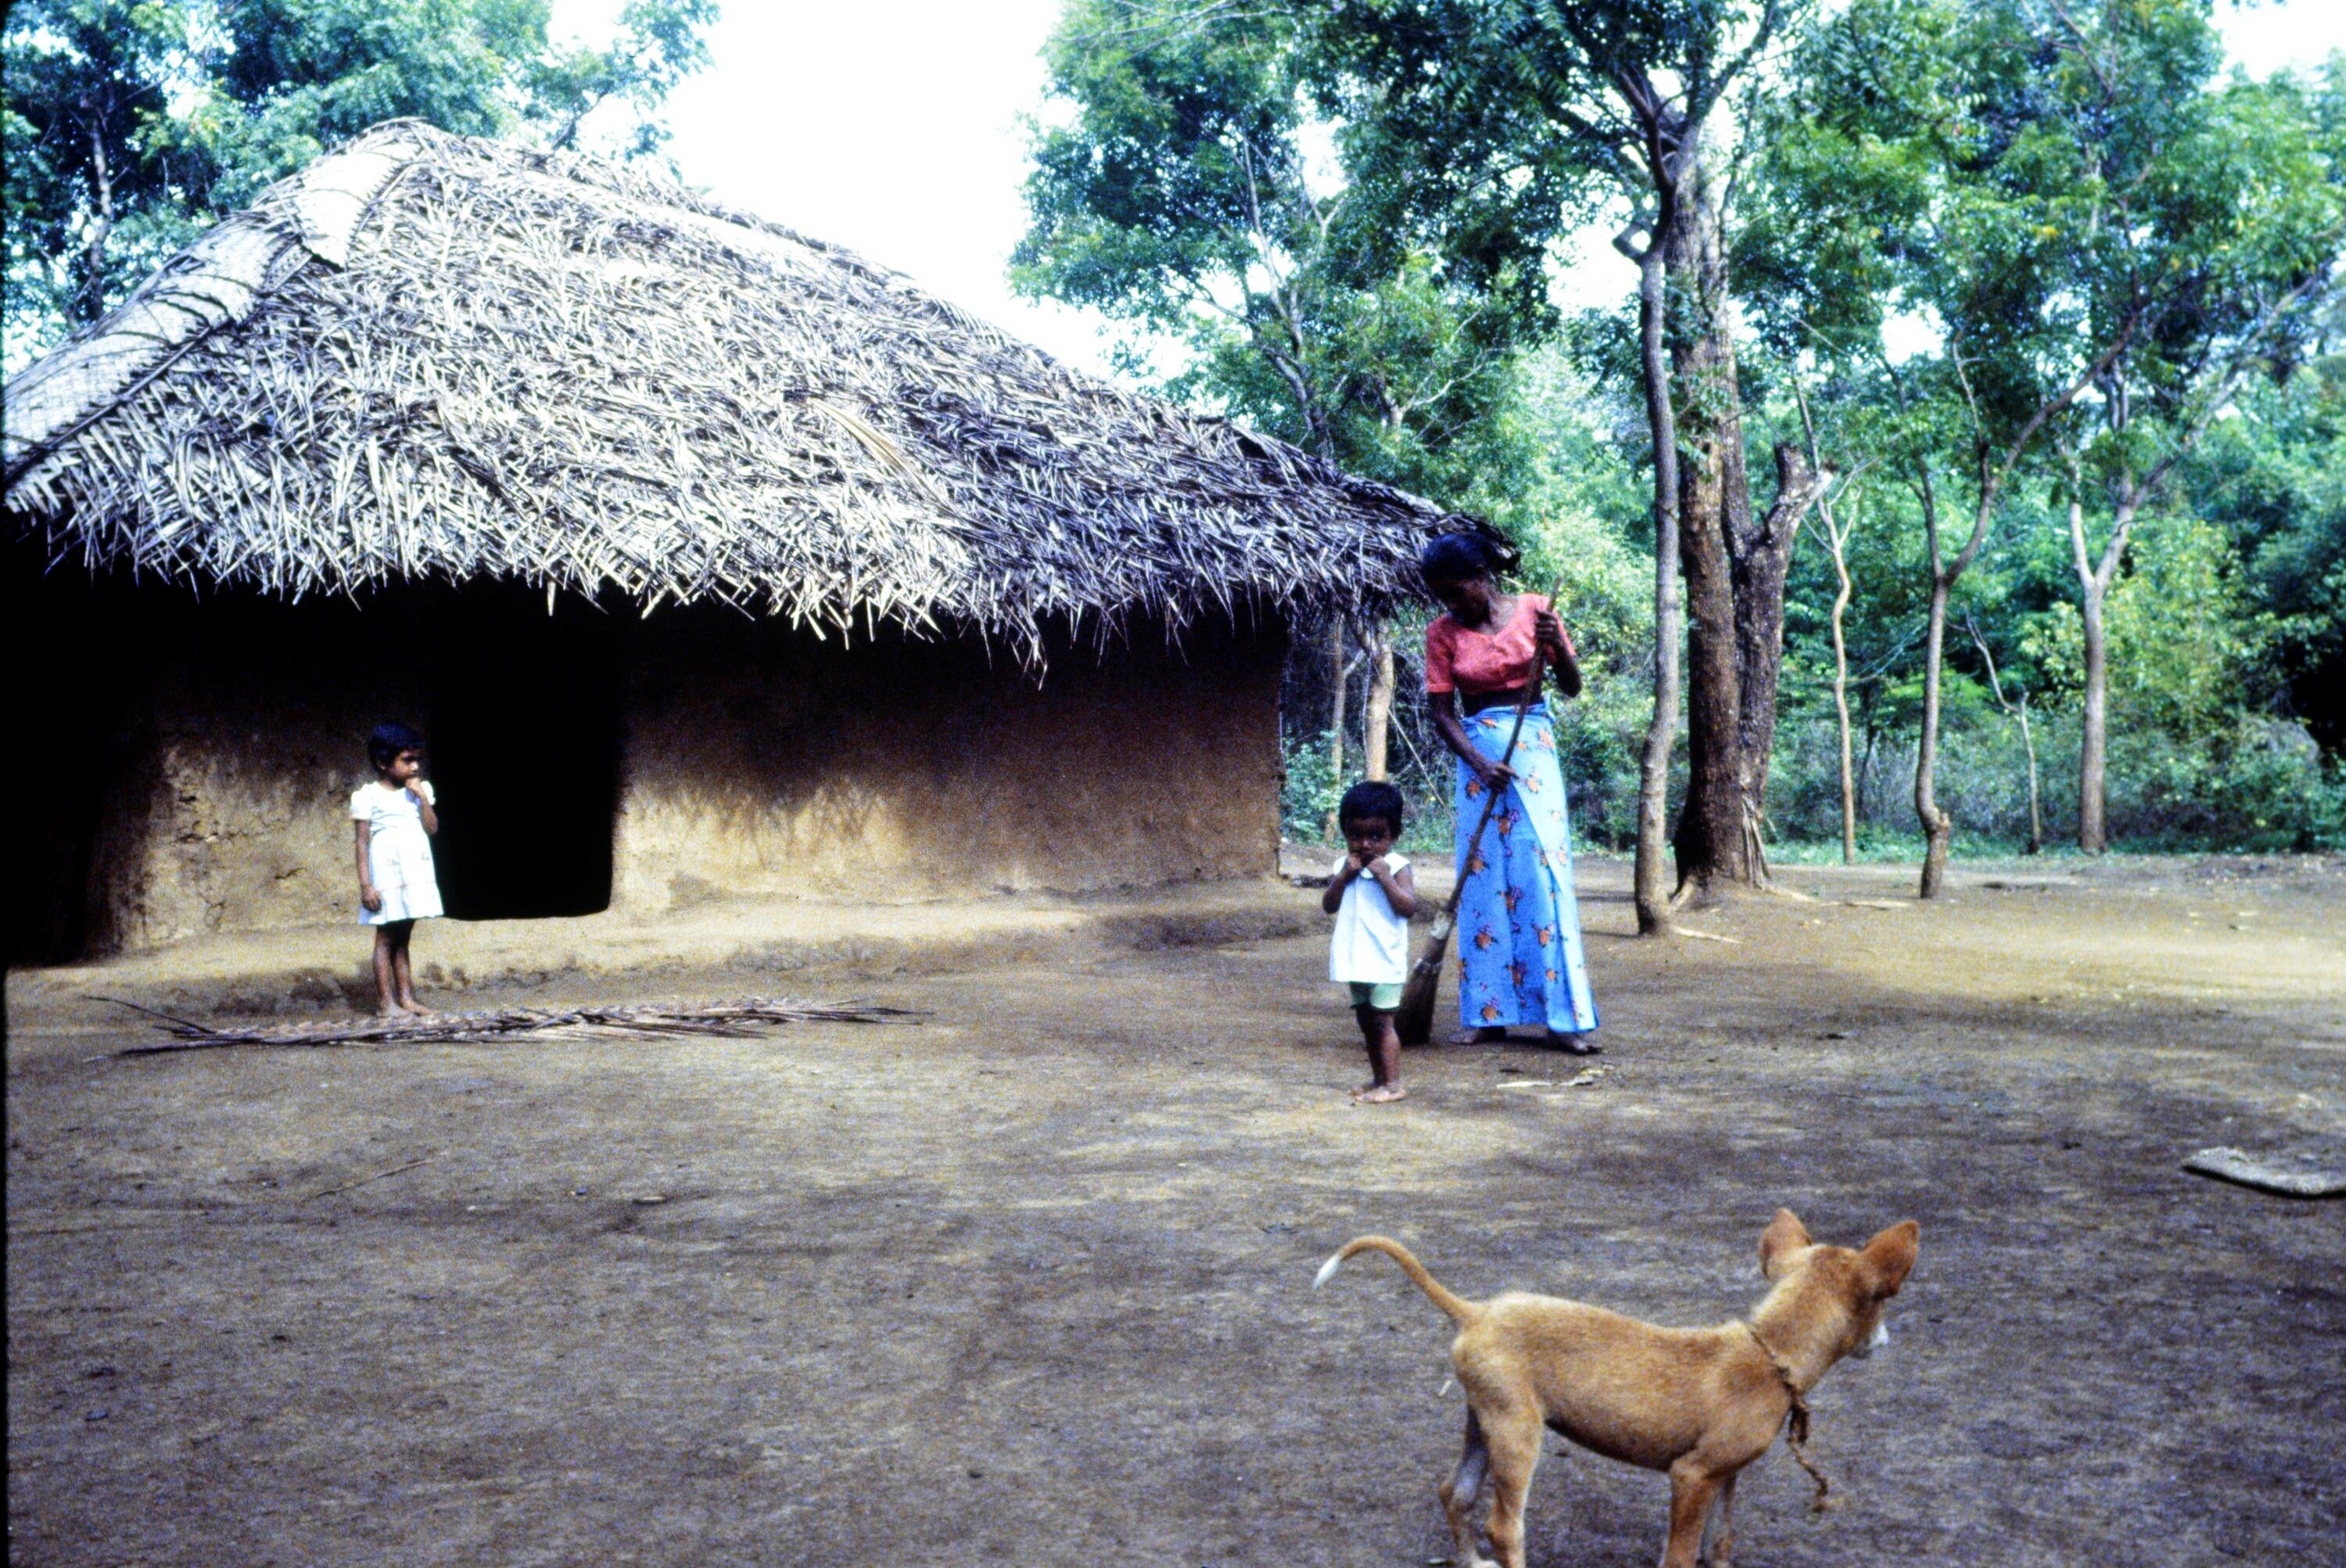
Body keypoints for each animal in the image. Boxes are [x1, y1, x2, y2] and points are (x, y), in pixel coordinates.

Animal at [1315, 1210, 1919, 1568]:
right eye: (1883, 1302)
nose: (1888, 1340)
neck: (1768, 1352)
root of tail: (1477, 1310)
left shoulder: (1726, 1476)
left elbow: (1720, 1543)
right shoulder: (1692, 1476)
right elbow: (1681, 1555)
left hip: (1483, 1421)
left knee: (1454, 1492)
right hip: (1517, 1434)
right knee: (1504, 1525)